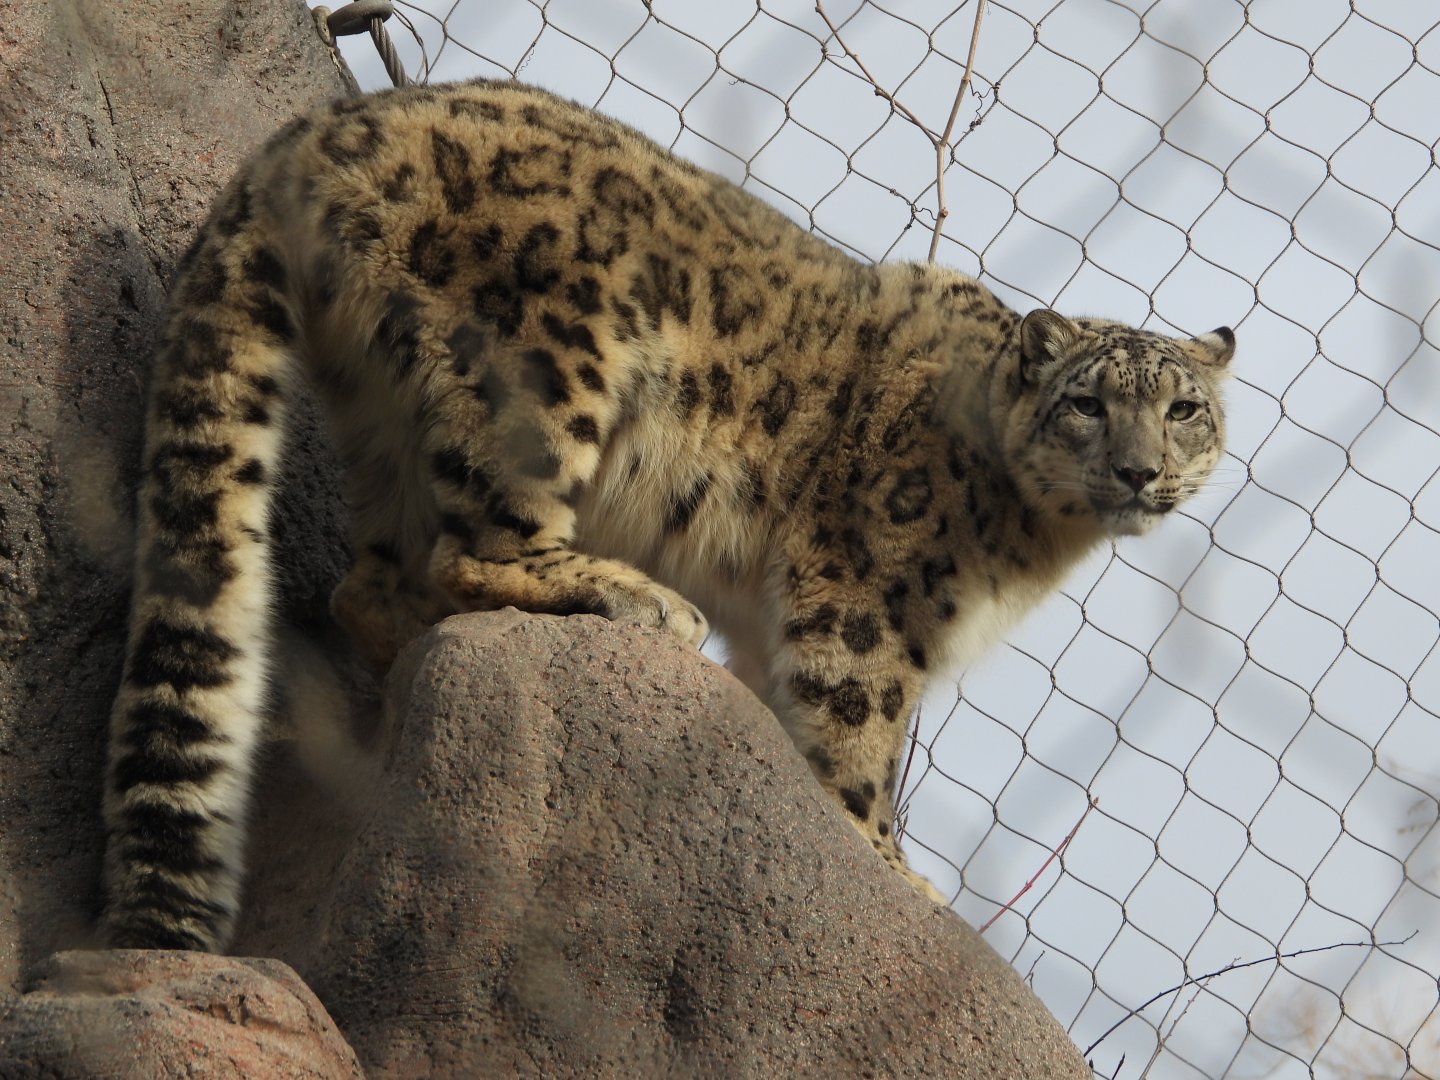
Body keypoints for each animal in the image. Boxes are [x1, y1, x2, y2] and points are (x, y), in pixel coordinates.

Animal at [102, 78, 1234, 952]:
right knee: (477, 547)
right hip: (545, 368)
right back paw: (628, 598)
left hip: (381, 422)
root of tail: (319, 128)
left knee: (374, 584)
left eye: (1185, 411)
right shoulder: (865, 601)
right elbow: (853, 737)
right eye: (1087, 405)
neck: (1039, 539)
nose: (1141, 472)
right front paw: (889, 869)